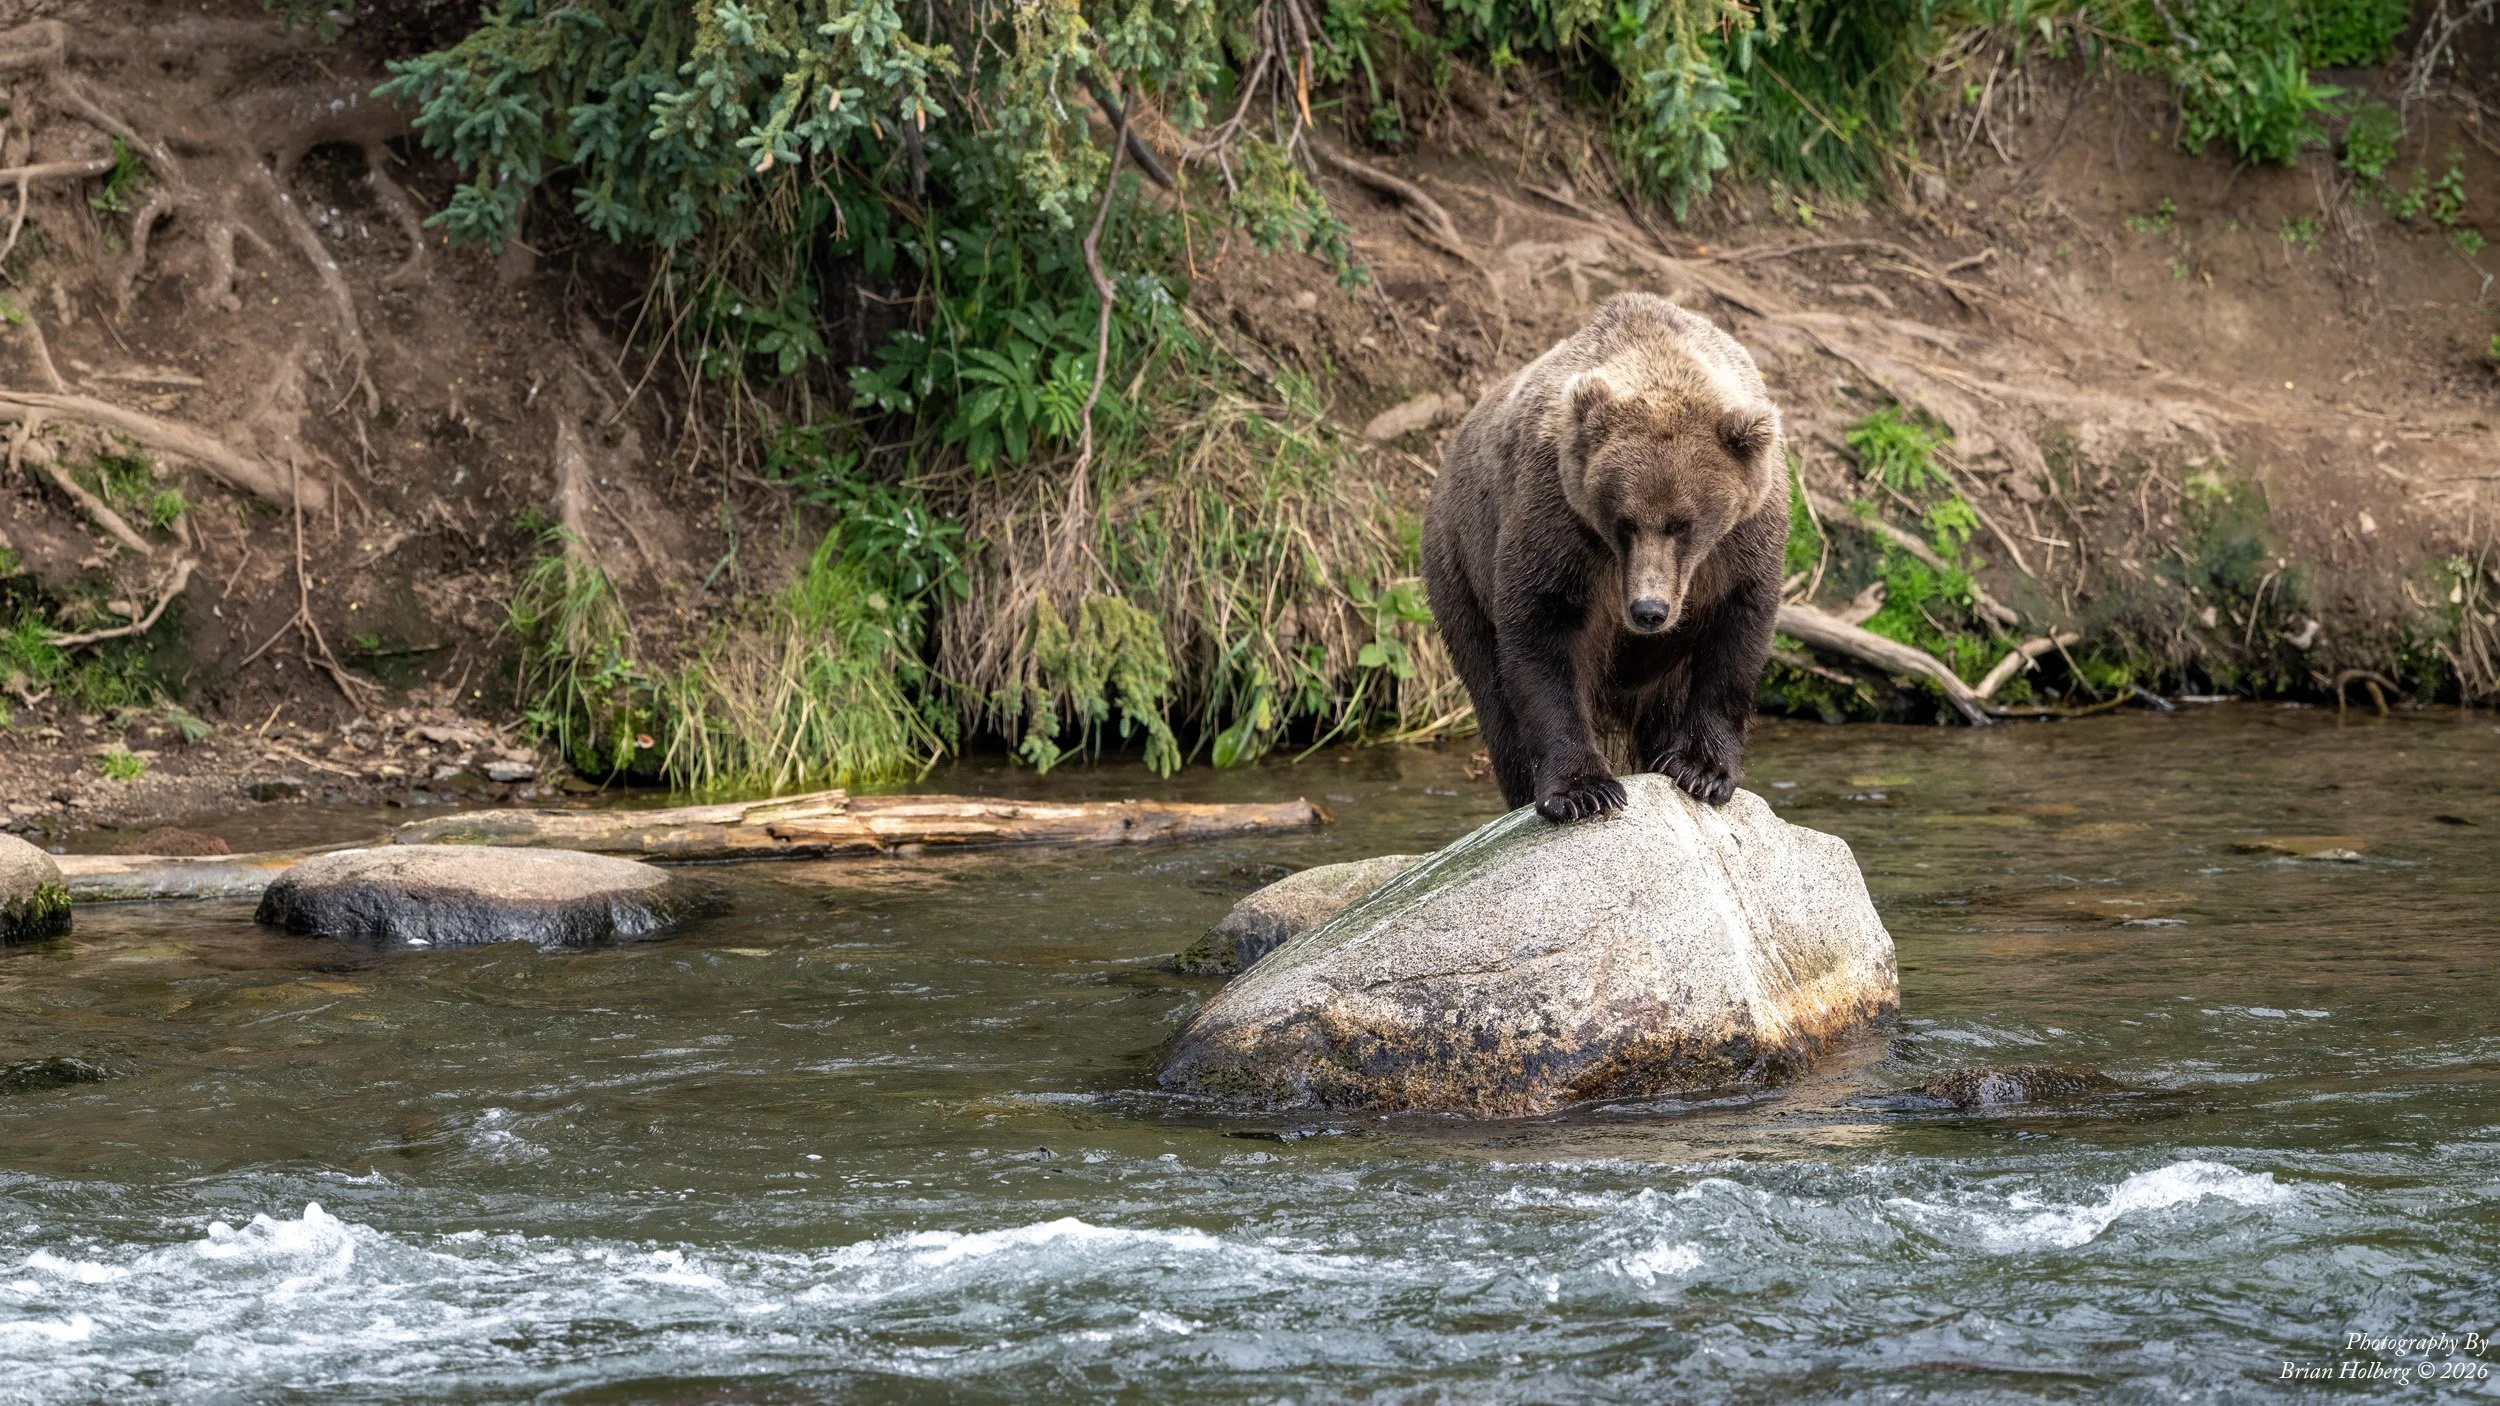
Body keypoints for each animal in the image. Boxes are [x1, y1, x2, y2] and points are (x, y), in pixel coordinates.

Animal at [1423, 292, 1786, 822]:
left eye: (1684, 524)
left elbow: (1736, 636)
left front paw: (1701, 770)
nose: (1649, 611)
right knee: (1493, 698)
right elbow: (1542, 631)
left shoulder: (1743, 541)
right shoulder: (1558, 518)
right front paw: (1583, 790)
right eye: (1625, 521)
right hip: (1459, 571)